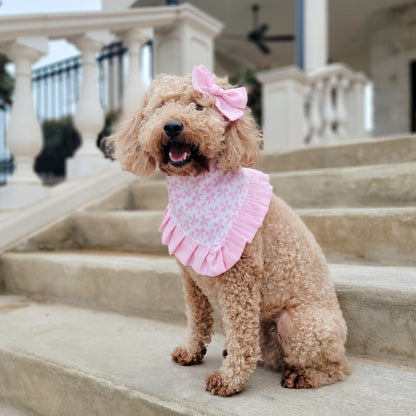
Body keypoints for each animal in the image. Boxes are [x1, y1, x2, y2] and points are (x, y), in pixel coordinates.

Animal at [109, 65, 350, 396]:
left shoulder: (240, 280)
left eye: (199, 106)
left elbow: (240, 333)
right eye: (159, 108)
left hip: (299, 325)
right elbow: (197, 320)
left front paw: (230, 379)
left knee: (339, 367)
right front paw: (191, 352)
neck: (196, 182)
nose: (171, 126)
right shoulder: (191, 280)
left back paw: (306, 376)